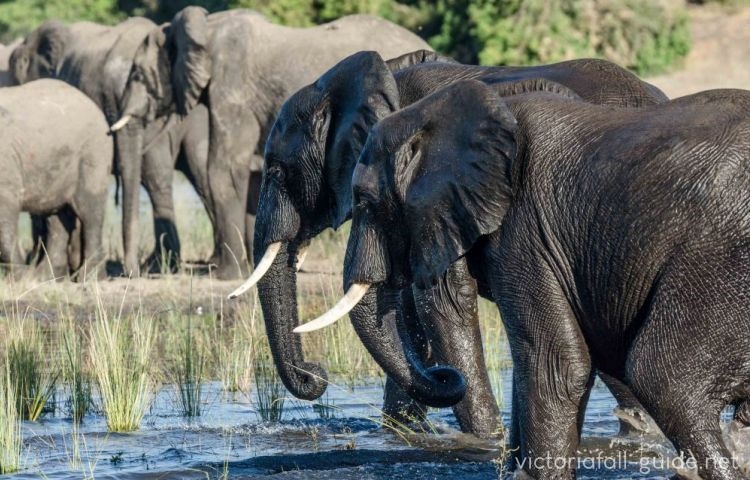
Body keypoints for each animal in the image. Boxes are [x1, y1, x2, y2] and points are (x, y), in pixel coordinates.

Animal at [0, 79, 112, 280]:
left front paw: (20, 279)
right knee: (57, 215)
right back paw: (45, 277)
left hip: (93, 152)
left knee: (89, 213)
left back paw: (88, 278)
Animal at [113, 7, 432, 280]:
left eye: (137, 74)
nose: (132, 272)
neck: (208, 27)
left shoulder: (232, 87)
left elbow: (223, 171)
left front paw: (225, 275)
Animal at [235, 50, 669, 438]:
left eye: (275, 171)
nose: (315, 373)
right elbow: (404, 306)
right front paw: (402, 430)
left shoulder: (442, 189)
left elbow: (439, 301)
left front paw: (484, 438)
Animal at [327, 81, 750, 479]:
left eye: (363, 200)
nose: (445, 375)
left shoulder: (526, 231)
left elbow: (557, 364)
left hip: (718, 263)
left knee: (664, 379)